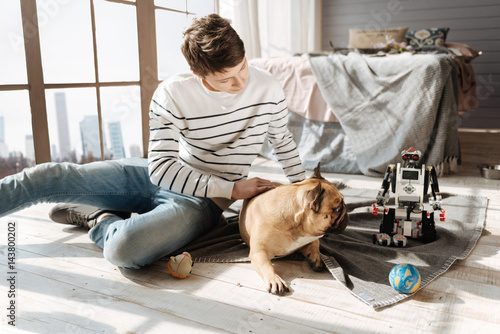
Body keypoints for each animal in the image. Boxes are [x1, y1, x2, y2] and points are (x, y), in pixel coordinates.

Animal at [239, 164, 348, 294]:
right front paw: (275, 280)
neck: (297, 226)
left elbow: (315, 244)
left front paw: (315, 258)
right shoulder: (259, 252)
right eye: (338, 210)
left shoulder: (310, 238)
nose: (346, 212)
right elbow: (266, 265)